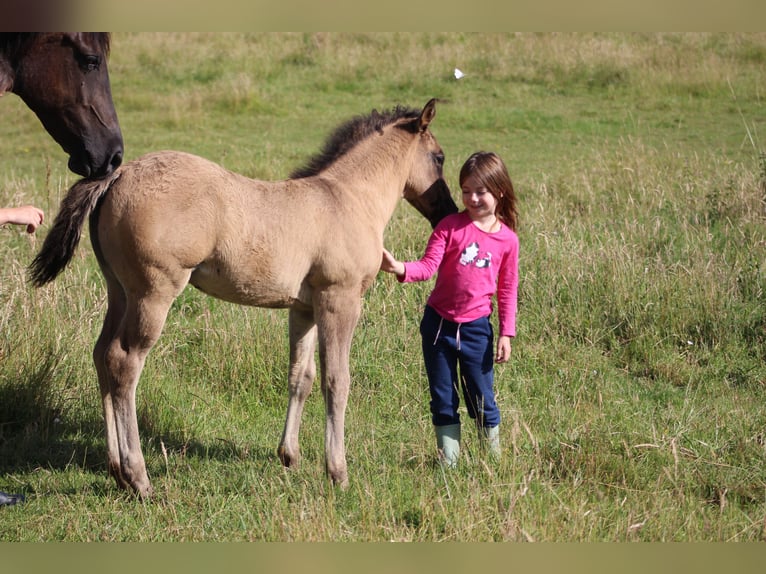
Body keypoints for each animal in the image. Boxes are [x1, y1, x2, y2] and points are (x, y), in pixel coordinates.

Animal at [29, 99, 458, 497]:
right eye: (439, 157)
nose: (447, 212)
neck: (346, 199)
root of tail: (118, 174)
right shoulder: (340, 299)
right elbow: (337, 380)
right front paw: (337, 472)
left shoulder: (304, 308)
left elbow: (300, 376)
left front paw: (289, 455)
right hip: (153, 293)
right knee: (124, 362)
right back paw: (139, 478)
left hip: (118, 290)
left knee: (101, 354)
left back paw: (117, 471)